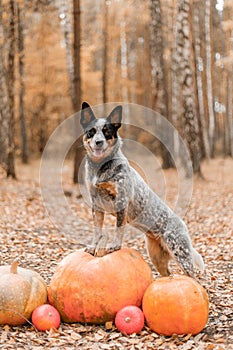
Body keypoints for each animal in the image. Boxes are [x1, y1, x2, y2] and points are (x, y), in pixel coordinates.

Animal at [80, 102, 204, 278]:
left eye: (107, 132)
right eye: (91, 131)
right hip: (156, 258)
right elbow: (97, 231)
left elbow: (118, 229)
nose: (98, 142)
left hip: (181, 255)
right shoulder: (96, 205)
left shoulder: (121, 201)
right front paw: (93, 247)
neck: (100, 167)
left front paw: (115, 246)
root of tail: (183, 225)